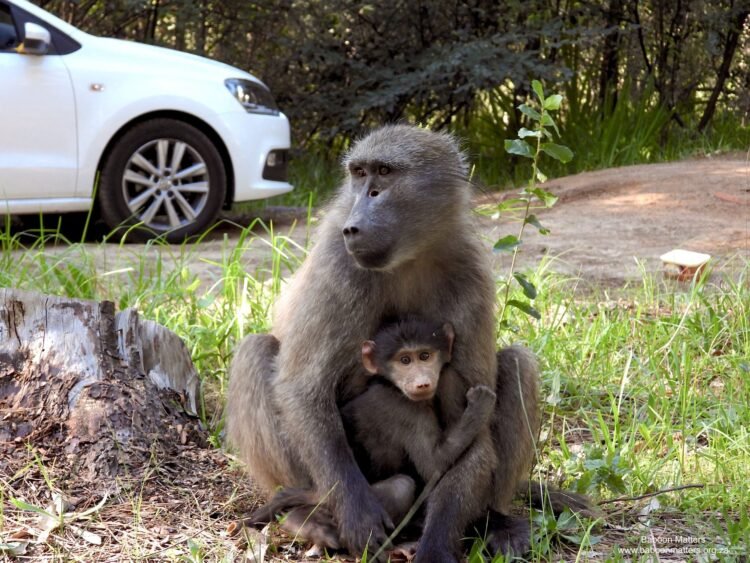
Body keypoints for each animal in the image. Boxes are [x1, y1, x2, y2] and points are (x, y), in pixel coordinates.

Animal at [226, 124, 569, 562]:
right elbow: (302, 388)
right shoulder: (338, 260)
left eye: (385, 173)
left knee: (516, 362)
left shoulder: (470, 271)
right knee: (256, 352)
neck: (410, 256)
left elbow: (473, 435)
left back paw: (490, 521)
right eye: (359, 173)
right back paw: (308, 517)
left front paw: (437, 546)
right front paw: (358, 516)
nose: (356, 220)